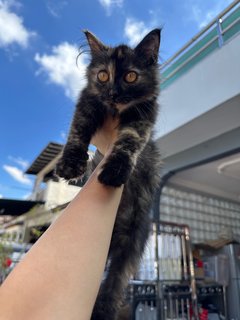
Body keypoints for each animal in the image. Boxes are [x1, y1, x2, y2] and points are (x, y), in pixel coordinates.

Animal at [55, 29, 161, 320]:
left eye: (130, 77)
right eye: (103, 75)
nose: (113, 93)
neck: (115, 110)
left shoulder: (142, 118)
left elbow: (127, 143)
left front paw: (114, 172)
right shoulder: (87, 103)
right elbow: (77, 132)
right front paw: (70, 165)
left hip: (131, 247)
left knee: (113, 284)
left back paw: (103, 311)